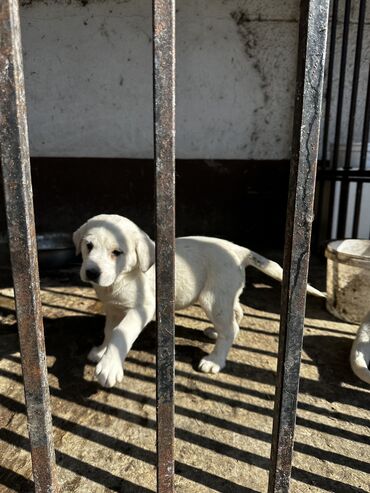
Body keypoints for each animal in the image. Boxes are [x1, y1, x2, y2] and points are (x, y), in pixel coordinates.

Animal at [73, 213, 324, 386]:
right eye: (89, 246)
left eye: (117, 253)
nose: (92, 272)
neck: (121, 279)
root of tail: (239, 250)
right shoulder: (113, 309)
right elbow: (109, 330)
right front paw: (102, 351)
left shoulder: (141, 308)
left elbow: (120, 332)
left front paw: (109, 366)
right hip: (225, 295)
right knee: (236, 313)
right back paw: (215, 333)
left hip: (213, 299)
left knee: (230, 329)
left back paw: (215, 360)